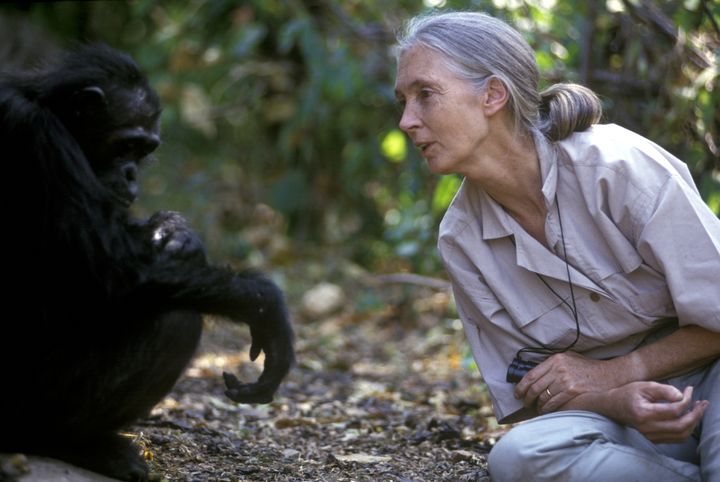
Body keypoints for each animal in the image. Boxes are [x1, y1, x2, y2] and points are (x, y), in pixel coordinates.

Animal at [0, 43, 296, 480]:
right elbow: (116, 270)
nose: (131, 174)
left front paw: (176, 231)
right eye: (125, 146)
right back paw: (79, 445)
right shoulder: (36, 135)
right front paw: (265, 307)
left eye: (143, 151)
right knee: (175, 321)